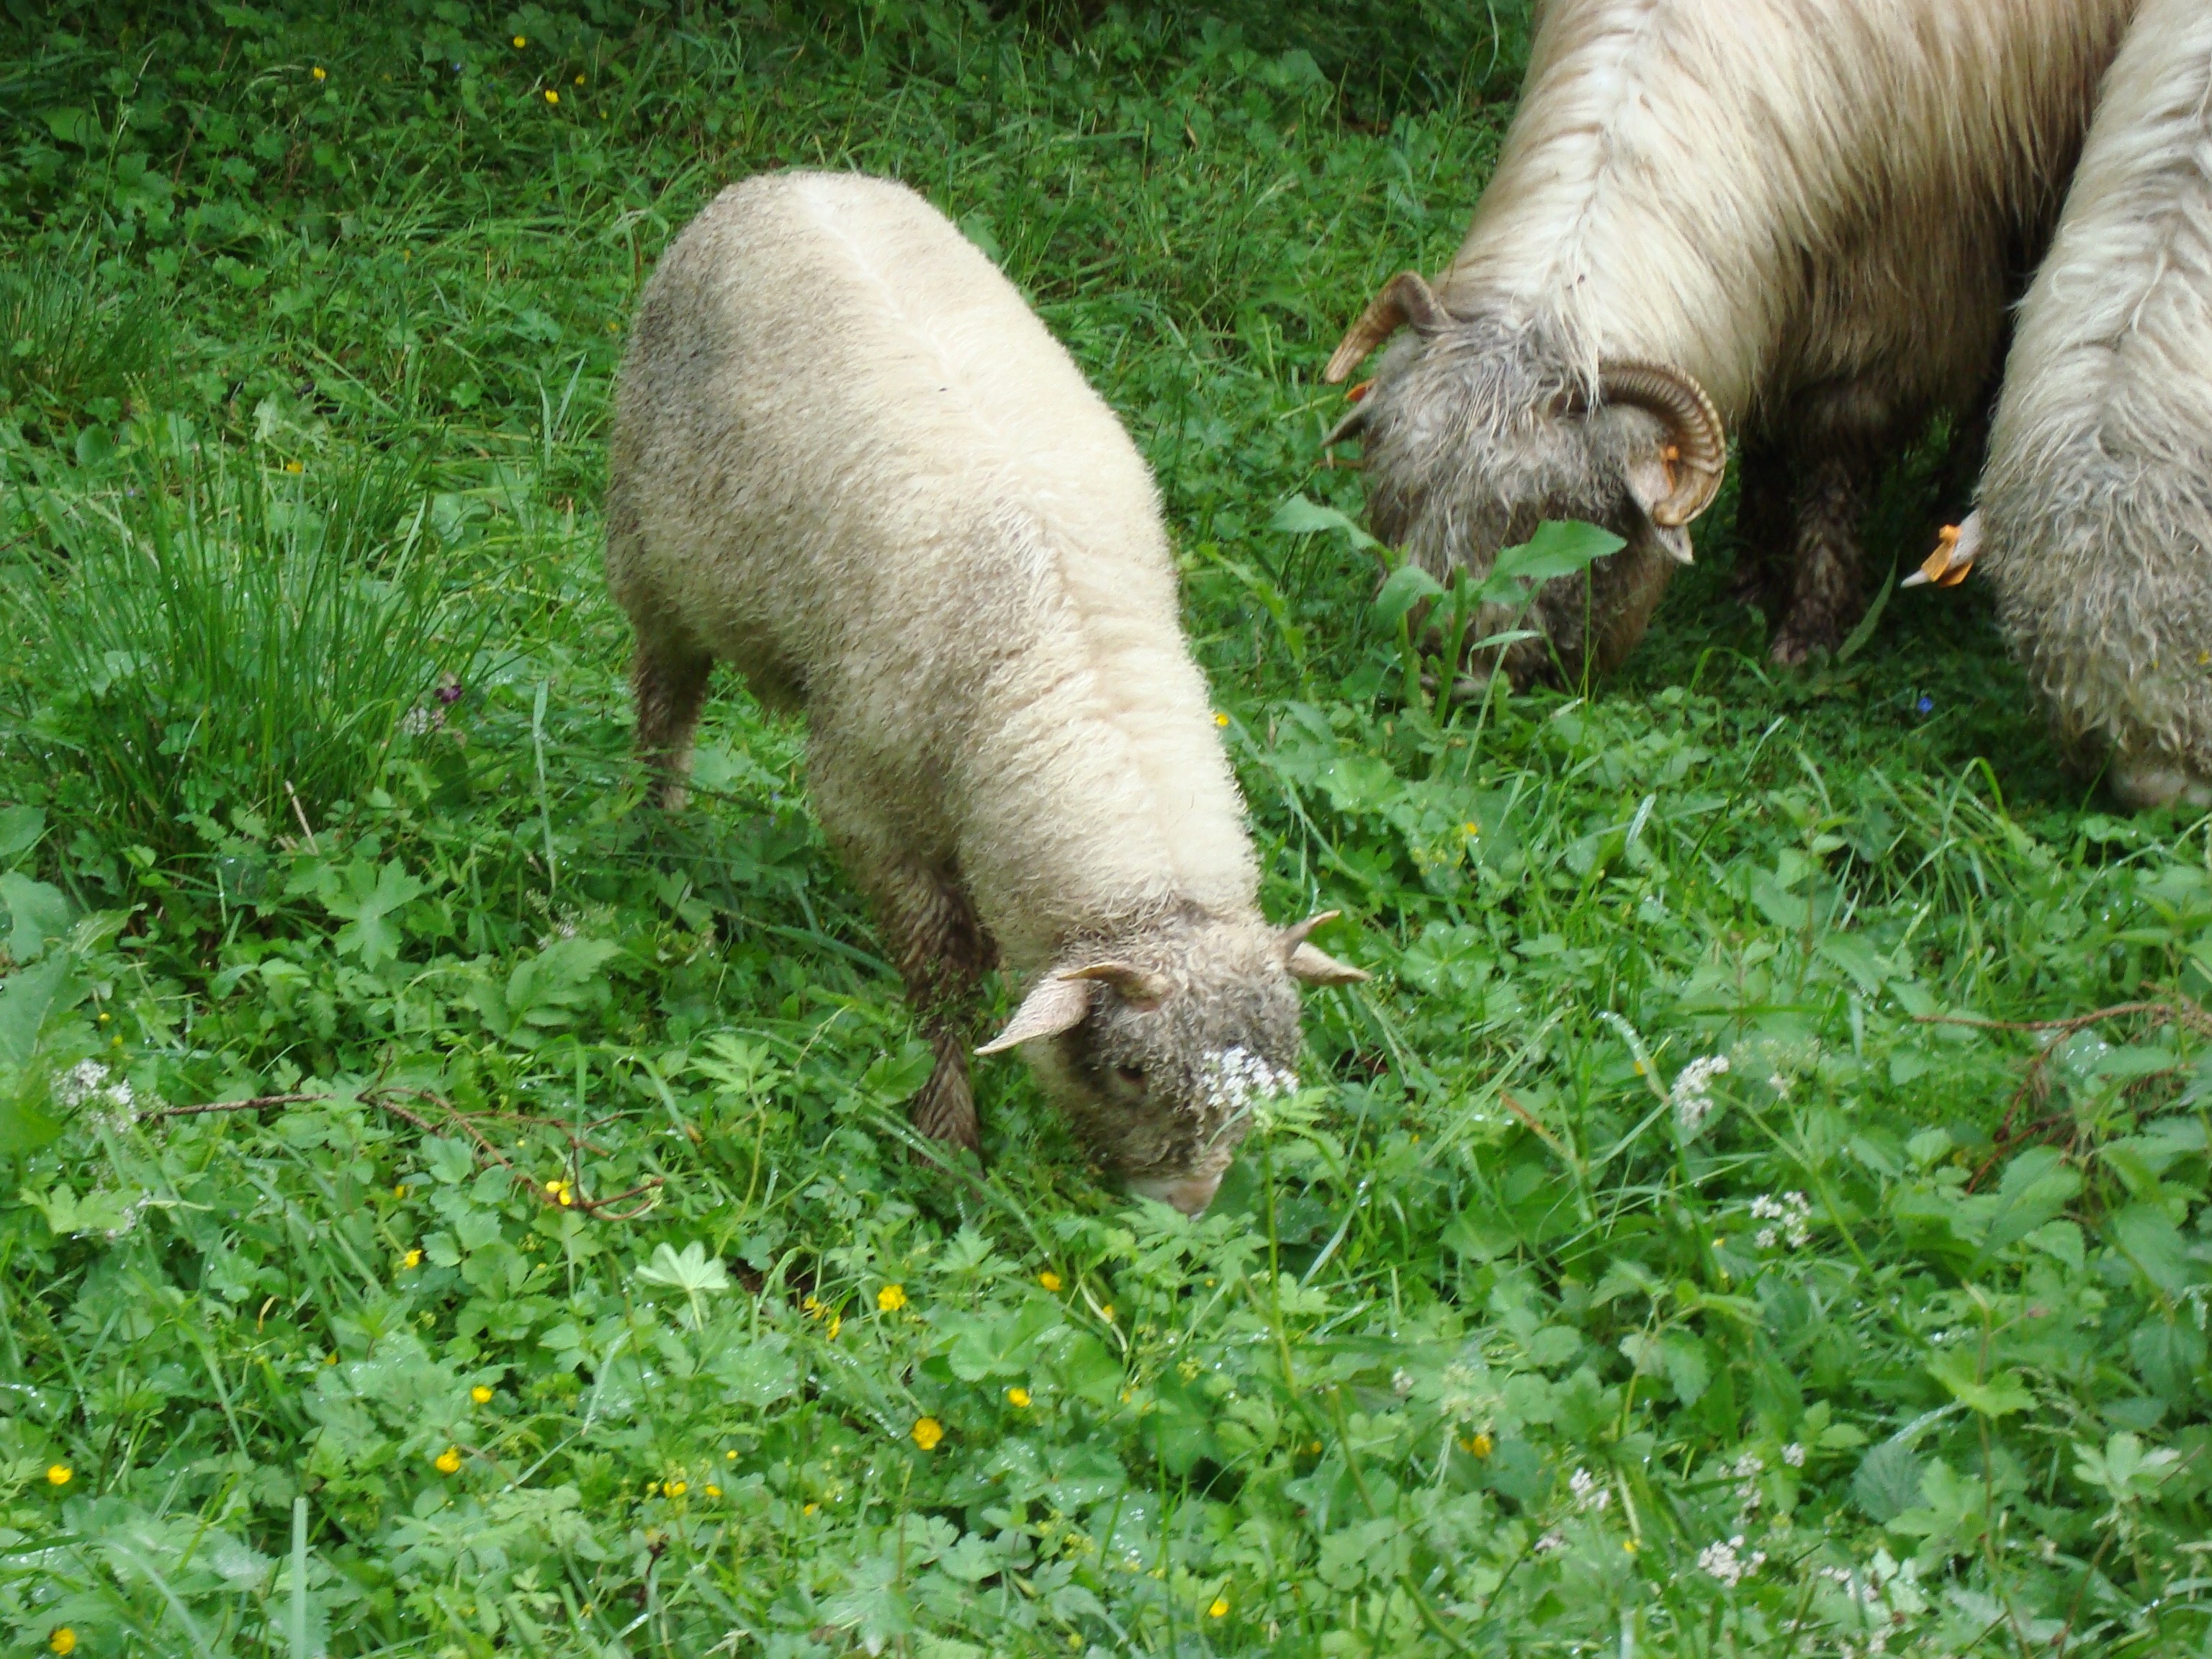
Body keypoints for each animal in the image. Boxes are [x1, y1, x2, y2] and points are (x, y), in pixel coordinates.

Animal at [604, 170, 1365, 1215]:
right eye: (1131, 1072)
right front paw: (949, 1143)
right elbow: (944, 984)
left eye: (1276, 1083)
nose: (1186, 1215)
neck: (1070, 661)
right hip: (653, 552)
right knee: (665, 701)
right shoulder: (868, 806)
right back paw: (659, 830)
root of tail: (794, 177)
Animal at [1322, 0, 2138, 681]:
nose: (1444, 667)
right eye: (1390, 496)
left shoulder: (1886, 309)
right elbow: (1770, 446)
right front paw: (1751, 580)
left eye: (1559, 520)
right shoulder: (1782, 299)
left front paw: (1811, 627)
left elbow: (1836, 459)